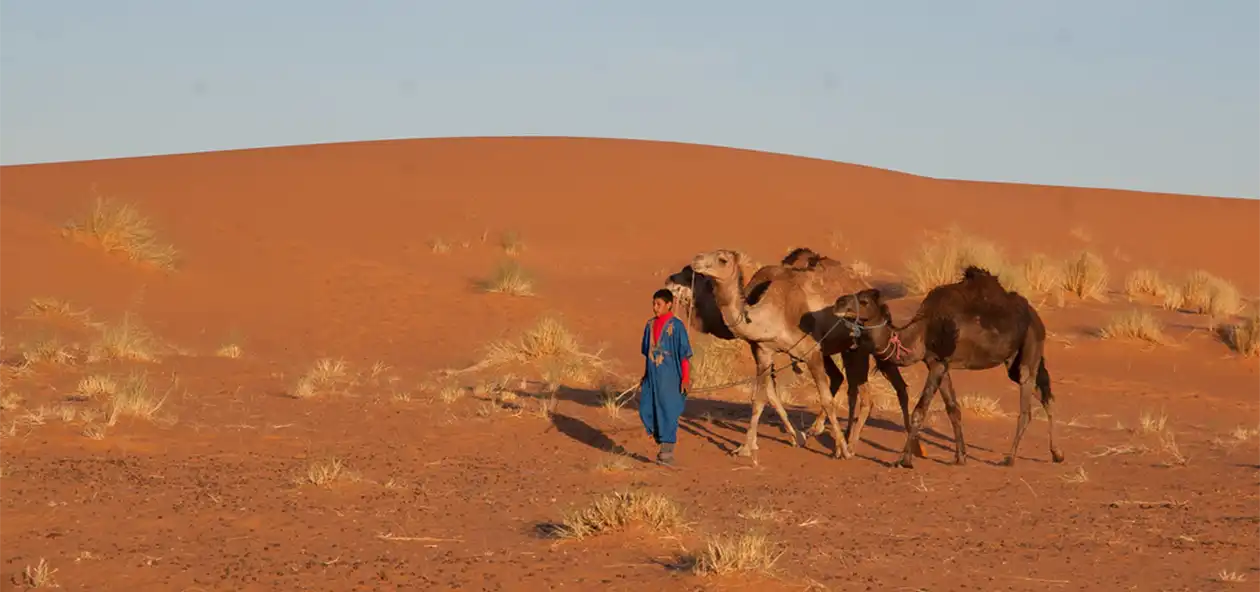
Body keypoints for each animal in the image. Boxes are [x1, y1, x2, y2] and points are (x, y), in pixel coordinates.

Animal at [671, 247, 921, 459]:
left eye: (722, 259)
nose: (696, 260)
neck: (770, 312)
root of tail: (862, 282)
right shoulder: (763, 351)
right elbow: (760, 398)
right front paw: (745, 447)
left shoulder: (812, 353)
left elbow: (827, 400)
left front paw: (840, 448)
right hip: (844, 349)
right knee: (850, 385)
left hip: (861, 346)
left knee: (872, 393)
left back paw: (851, 446)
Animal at [832, 266, 1067, 468]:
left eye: (863, 301)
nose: (838, 302)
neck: (921, 332)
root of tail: (1036, 317)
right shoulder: (940, 365)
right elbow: (954, 410)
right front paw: (960, 457)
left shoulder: (938, 363)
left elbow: (920, 410)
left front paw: (904, 460)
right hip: (1013, 362)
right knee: (1046, 395)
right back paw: (1057, 454)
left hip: (1030, 347)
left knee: (1027, 406)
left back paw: (1009, 459)